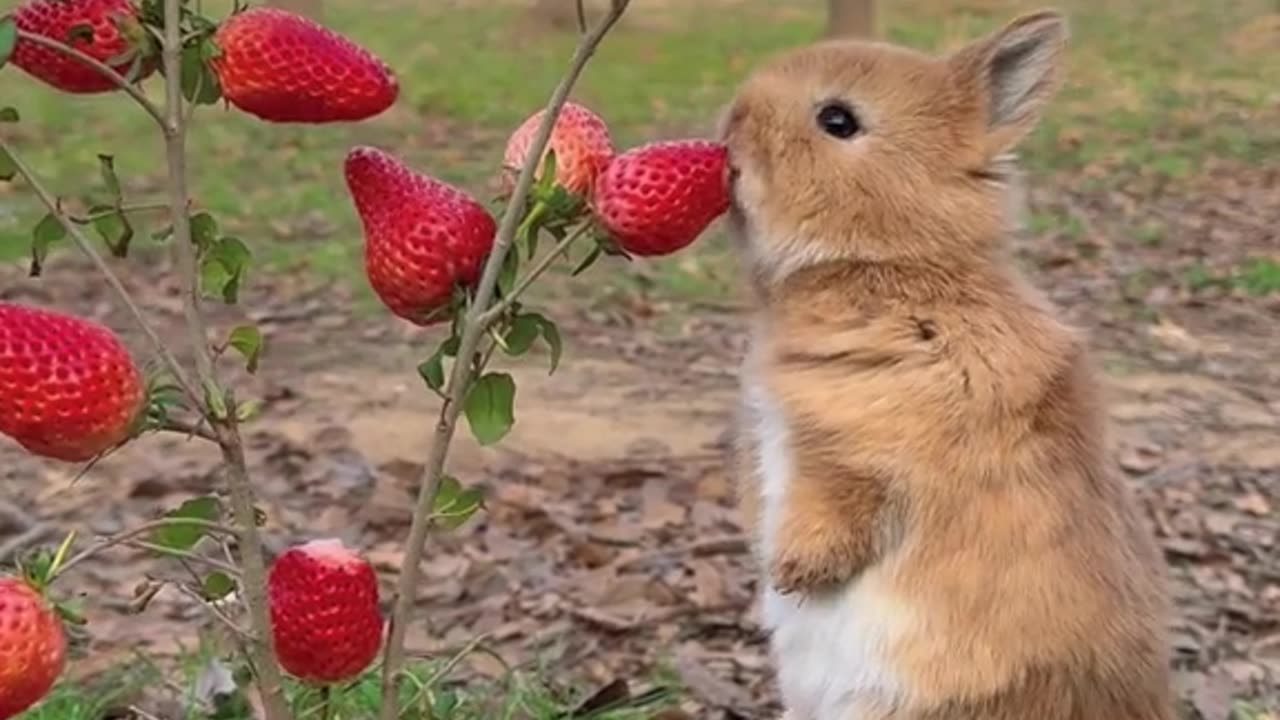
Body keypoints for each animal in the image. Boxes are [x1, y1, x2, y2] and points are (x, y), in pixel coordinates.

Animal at [721, 9, 1177, 717]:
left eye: (838, 120)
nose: (730, 127)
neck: (894, 268)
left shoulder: (870, 445)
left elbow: (840, 503)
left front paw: (792, 572)